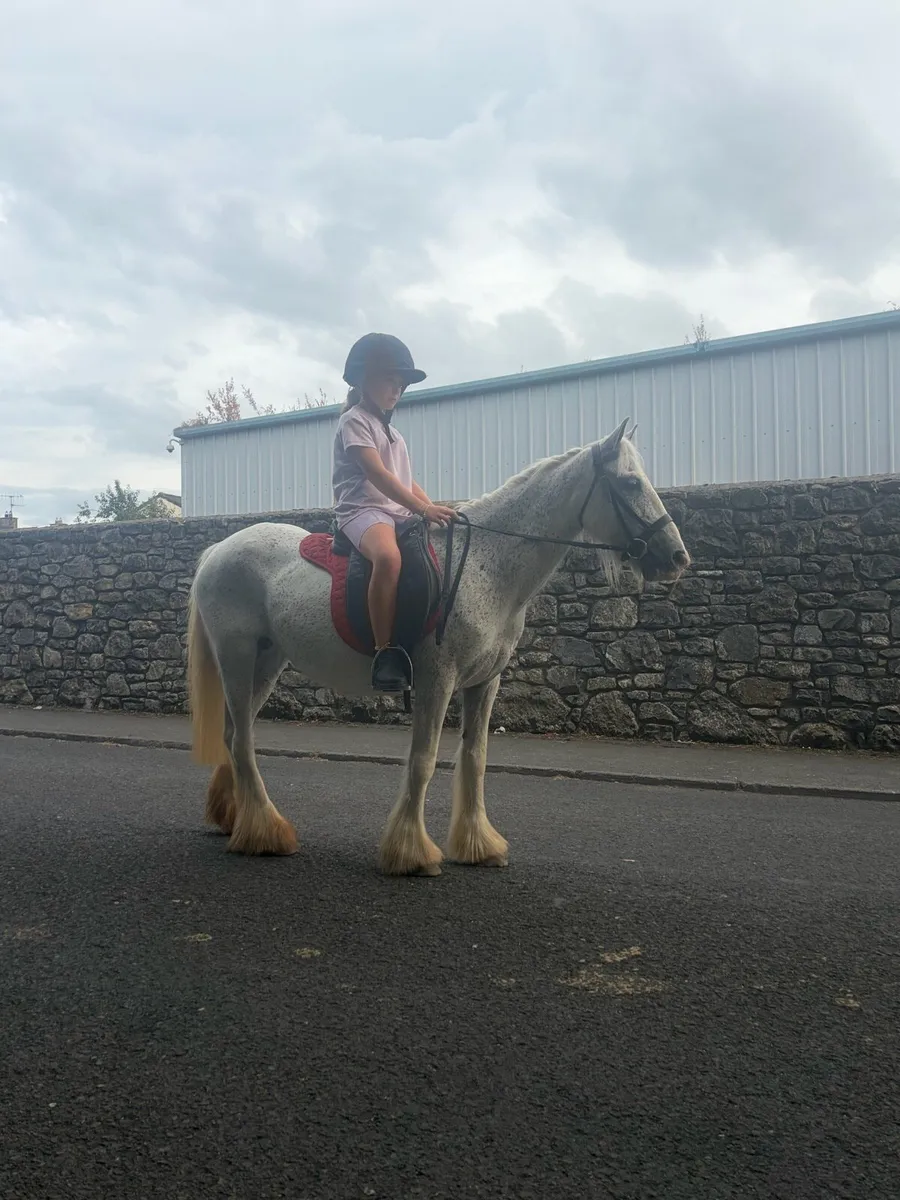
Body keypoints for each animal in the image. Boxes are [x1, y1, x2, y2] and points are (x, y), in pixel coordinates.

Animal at [185, 417, 690, 876]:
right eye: (629, 482)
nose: (678, 558)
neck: (487, 563)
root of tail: (217, 551)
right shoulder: (437, 679)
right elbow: (424, 760)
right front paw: (411, 853)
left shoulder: (485, 682)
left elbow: (475, 758)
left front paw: (479, 845)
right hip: (237, 657)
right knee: (243, 740)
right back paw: (267, 833)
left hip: (267, 662)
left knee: (233, 736)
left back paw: (236, 819)